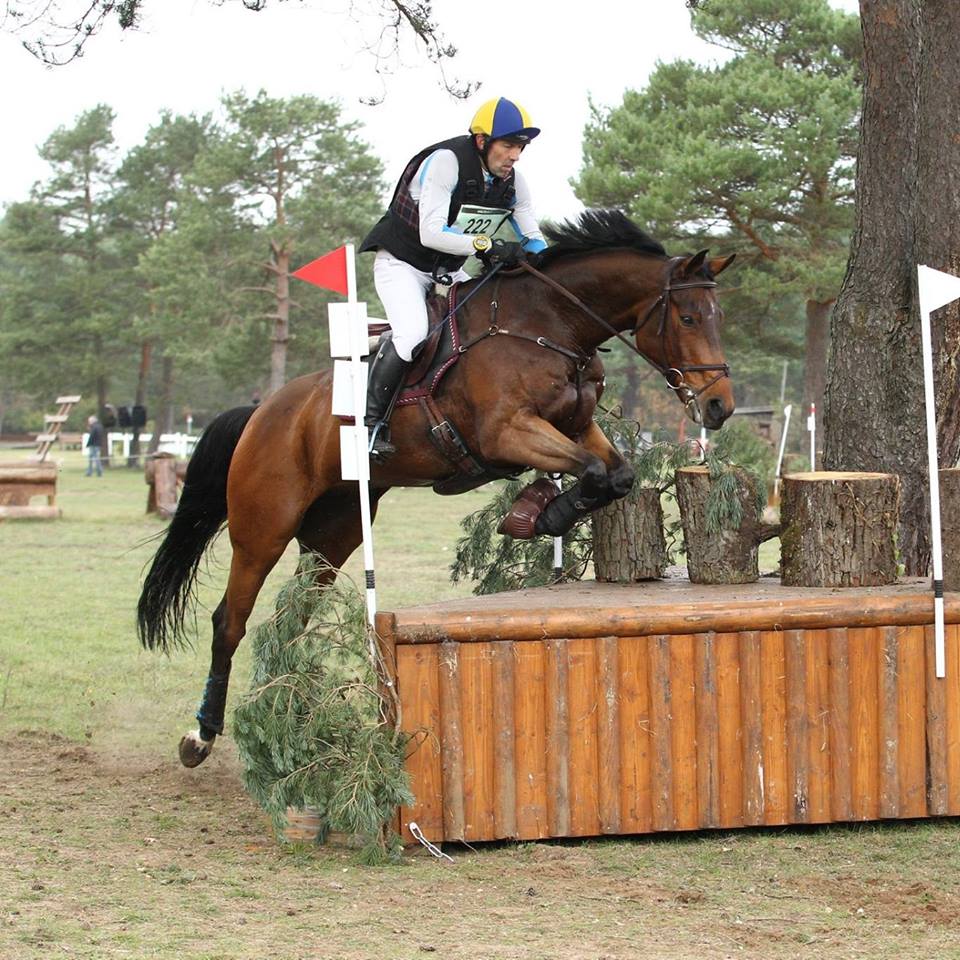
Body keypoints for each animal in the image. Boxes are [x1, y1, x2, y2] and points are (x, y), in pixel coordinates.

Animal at [137, 210, 736, 764]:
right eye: (687, 316)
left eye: (718, 317)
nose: (719, 407)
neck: (549, 324)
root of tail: (264, 410)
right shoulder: (506, 431)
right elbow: (589, 470)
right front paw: (537, 514)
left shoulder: (576, 426)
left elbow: (615, 474)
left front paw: (539, 511)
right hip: (264, 526)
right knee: (230, 621)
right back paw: (202, 734)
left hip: (335, 531)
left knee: (292, 619)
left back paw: (288, 717)